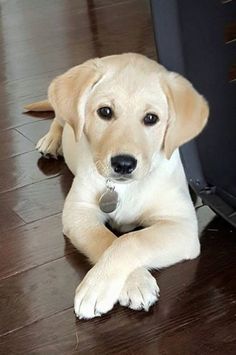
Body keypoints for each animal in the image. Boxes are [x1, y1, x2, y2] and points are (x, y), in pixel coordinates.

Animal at [25, 52, 208, 320]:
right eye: (105, 112)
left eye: (151, 118)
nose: (123, 164)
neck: (124, 188)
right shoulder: (78, 212)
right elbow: (108, 240)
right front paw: (130, 282)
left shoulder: (182, 225)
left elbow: (130, 241)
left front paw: (100, 285)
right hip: (63, 116)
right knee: (60, 119)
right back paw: (51, 140)